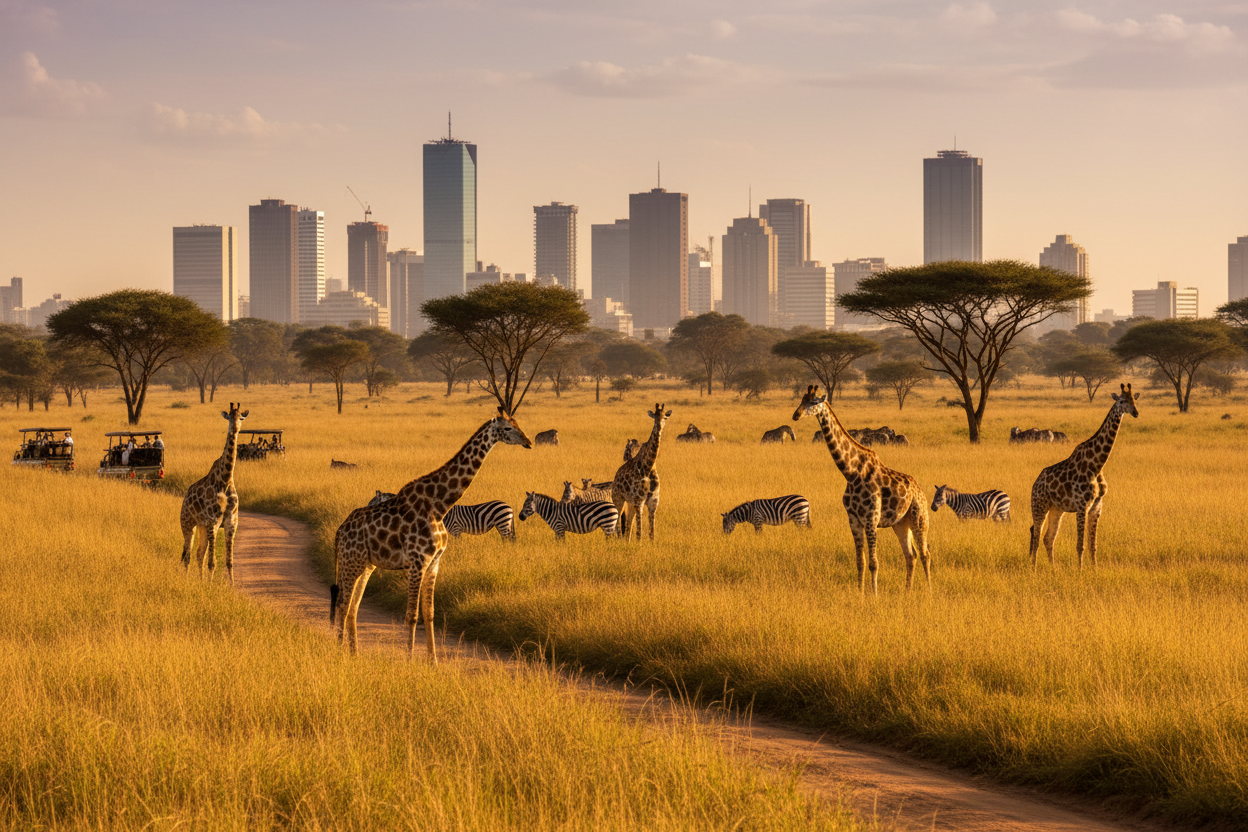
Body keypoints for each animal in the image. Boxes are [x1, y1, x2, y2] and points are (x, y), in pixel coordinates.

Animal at [179, 402, 248, 582]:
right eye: (229, 417)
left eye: (241, 417)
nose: (235, 429)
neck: (225, 479)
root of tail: (185, 498)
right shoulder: (213, 521)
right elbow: (212, 562)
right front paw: (210, 585)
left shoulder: (231, 521)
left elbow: (229, 561)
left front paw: (231, 585)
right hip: (187, 523)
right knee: (187, 554)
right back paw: (187, 580)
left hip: (201, 526)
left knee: (198, 553)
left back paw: (201, 580)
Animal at [330, 407, 531, 662]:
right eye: (507, 428)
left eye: (518, 423)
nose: (528, 441)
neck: (440, 505)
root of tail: (339, 532)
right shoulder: (417, 562)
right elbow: (412, 615)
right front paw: (409, 660)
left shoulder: (434, 562)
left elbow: (430, 614)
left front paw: (433, 661)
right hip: (351, 562)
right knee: (342, 604)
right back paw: (340, 652)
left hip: (366, 565)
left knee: (352, 607)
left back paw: (354, 653)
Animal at [612, 404, 671, 541]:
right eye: (655, 416)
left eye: (665, 417)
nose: (659, 427)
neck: (648, 466)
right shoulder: (639, 501)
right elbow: (639, 532)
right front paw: (639, 544)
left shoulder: (653, 501)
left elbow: (651, 532)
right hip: (618, 498)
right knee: (618, 522)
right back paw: (616, 540)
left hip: (629, 502)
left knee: (628, 523)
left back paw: (626, 542)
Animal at [793, 385, 930, 595]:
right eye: (802, 399)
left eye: (813, 401)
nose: (796, 415)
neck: (851, 472)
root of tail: (920, 491)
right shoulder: (854, 519)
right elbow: (860, 562)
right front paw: (860, 594)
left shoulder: (871, 518)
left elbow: (874, 563)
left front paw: (874, 595)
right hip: (900, 523)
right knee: (911, 555)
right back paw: (907, 592)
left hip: (919, 518)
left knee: (925, 554)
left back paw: (930, 591)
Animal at [1028, 382, 1139, 569]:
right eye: (1122, 401)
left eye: (1134, 400)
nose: (1136, 412)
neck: (1097, 465)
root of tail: (1035, 483)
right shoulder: (1082, 506)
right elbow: (1080, 545)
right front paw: (1080, 571)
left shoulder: (1096, 507)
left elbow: (1093, 545)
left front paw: (1094, 570)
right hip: (1039, 505)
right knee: (1036, 536)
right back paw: (1034, 570)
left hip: (1056, 508)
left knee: (1048, 538)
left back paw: (1054, 569)